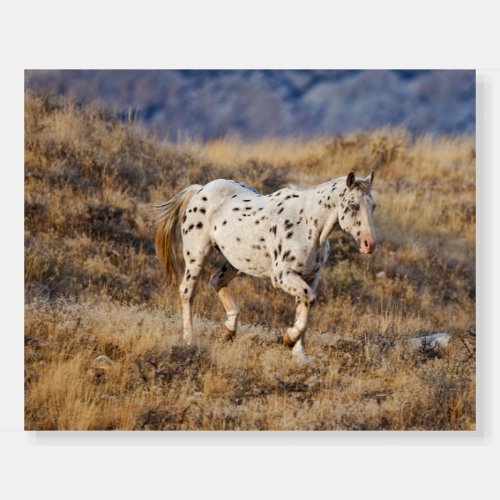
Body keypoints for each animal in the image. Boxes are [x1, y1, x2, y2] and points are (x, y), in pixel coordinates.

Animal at [154, 172, 376, 360]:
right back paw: (189, 339)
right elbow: (308, 302)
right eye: (353, 205)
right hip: (196, 256)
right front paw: (288, 339)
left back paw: (228, 330)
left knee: (216, 280)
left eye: (373, 206)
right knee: (187, 292)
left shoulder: (310, 277)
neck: (308, 224)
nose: (369, 244)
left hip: (234, 261)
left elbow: (305, 308)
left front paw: (299, 355)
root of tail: (201, 189)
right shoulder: (283, 275)